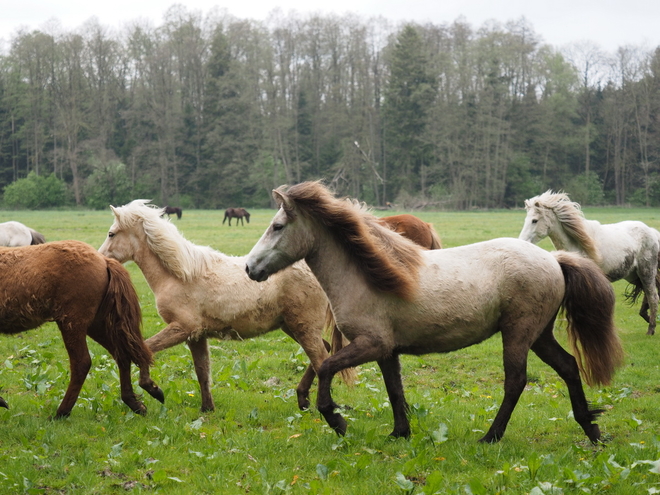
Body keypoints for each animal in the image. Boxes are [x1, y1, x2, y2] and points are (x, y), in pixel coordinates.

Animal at [0, 242, 164, 416]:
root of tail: (104, 260)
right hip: (95, 325)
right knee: (123, 354)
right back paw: (137, 401)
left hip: (72, 323)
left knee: (82, 363)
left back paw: (61, 412)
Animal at [98, 200, 354, 412]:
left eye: (111, 233)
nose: (101, 259)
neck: (180, 275)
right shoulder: (195, 335)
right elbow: (202, 371)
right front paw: (207, 409)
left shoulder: (182, 328)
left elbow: (145, 349)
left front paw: (153, 390)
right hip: (292, 327)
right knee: (324, 351)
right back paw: (303, 399)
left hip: (303, 327)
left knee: (321, 358)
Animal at [520, 190, 660, 338]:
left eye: (534, 220)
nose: (522, 241)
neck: (577, 245)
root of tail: (651, 231)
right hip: (633, 275)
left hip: (646, 271)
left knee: (653, 297)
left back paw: (651, 329)